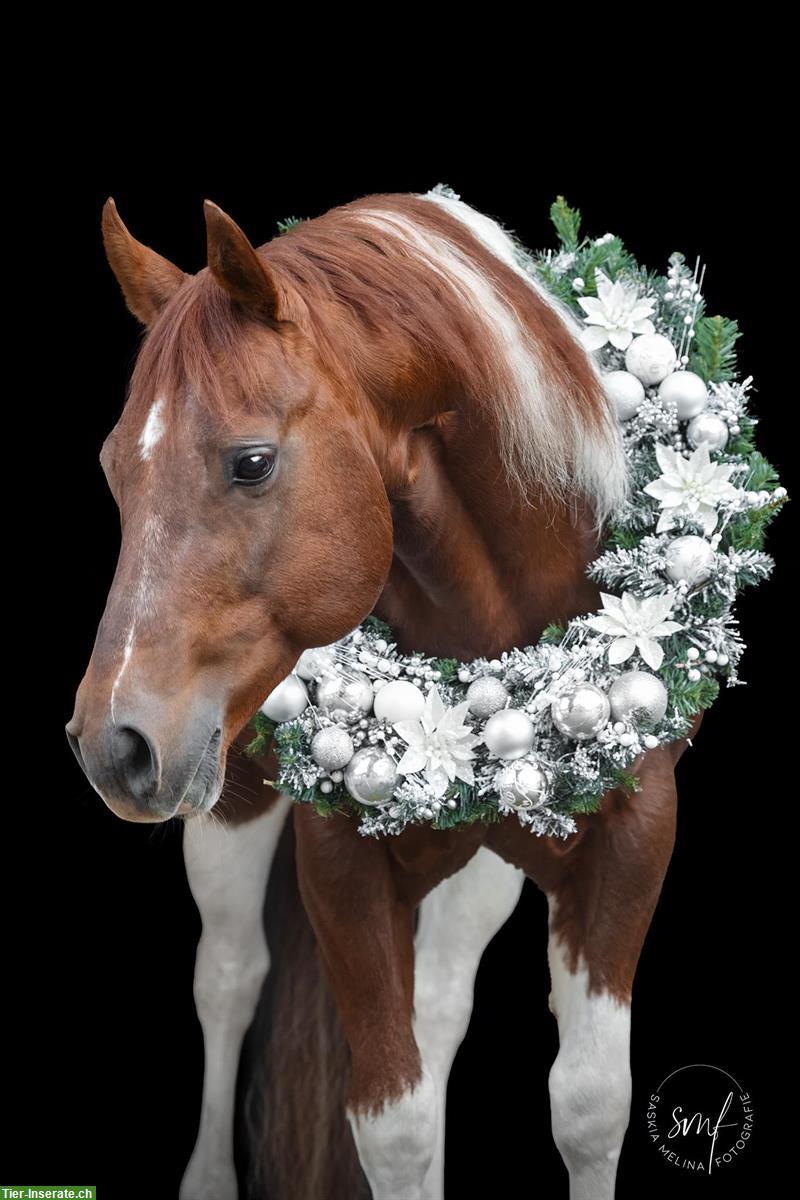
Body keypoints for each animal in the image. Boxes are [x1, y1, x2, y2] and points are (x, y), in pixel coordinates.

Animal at [66, 186, 704, 1199]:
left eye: (251, 462)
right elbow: (391, 1124)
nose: (111, 743)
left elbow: (591, 1104)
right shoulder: (340, 865)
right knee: (229, 976)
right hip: (234, 807)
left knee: (438, 1007)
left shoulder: (636, 836)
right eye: (114, 468)